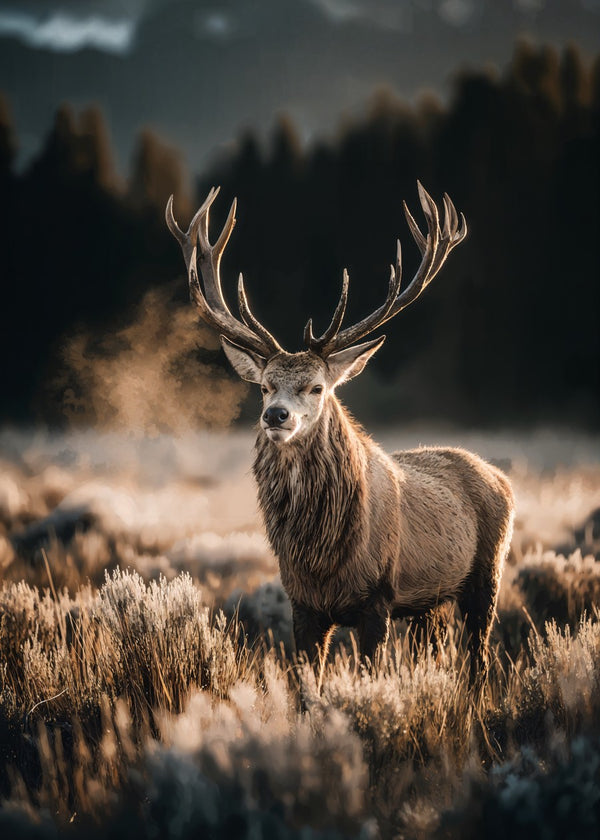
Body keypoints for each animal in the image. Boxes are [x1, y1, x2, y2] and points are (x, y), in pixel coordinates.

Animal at [166, 183, 515, 679]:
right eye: (264, 386)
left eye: (316, 386)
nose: (276, 416)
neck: (323, 558)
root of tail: (500, 477)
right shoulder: (303, 604)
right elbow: (304, 682)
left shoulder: (379, 598)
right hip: (429, 603)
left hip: (488, 572)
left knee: (479, 660)